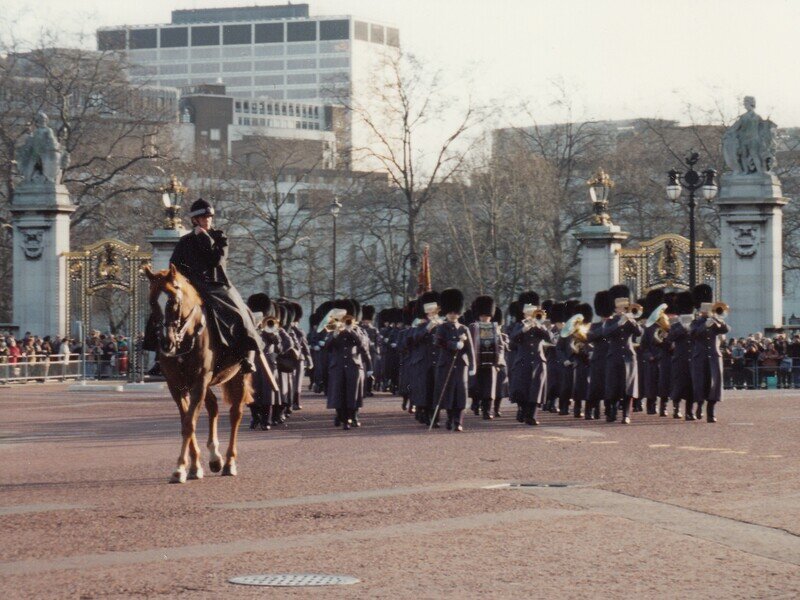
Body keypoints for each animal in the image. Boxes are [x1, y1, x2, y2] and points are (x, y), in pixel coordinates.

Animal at [145, 264, 253, 486]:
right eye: (152, 301)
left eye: (173, 301)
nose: (167, 343)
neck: (187, 336)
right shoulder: (177, 385)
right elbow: (186, 420)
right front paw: (193, 467)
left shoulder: (198, 383)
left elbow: (189, 423)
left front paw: (180, 468)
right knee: (213, 407)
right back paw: (215, 457)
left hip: (239, 377)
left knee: (235, 414)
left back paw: (229, 462)